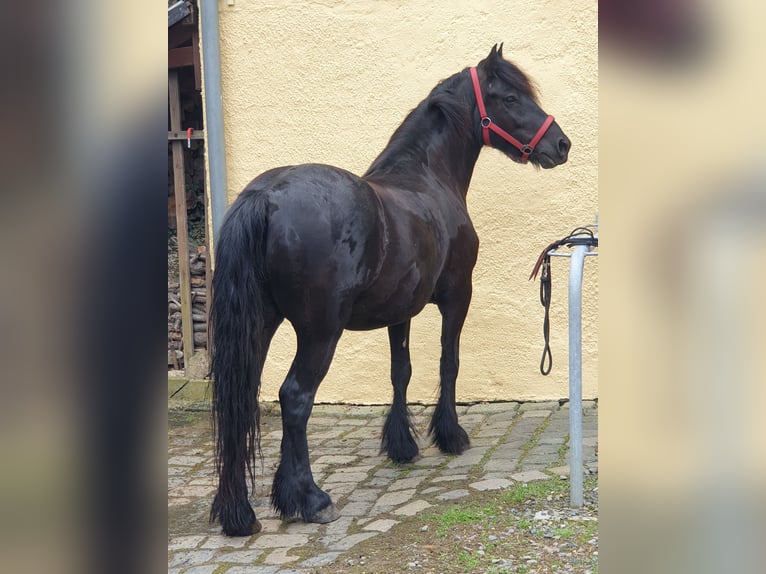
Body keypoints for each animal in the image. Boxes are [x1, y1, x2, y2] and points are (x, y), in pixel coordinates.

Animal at [210, 46, 568, 540]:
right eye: (512, 97)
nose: (562, 144)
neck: (428, 177)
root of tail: (265, 197)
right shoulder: (458, 296)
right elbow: (449, 363)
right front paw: (450, 435)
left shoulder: (401, 310)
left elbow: (401, 371)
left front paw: (402, 445)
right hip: (319, 332)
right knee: (295, 398)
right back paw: (311, 500)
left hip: (261, 325)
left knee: (241, 399)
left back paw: (241, 513)